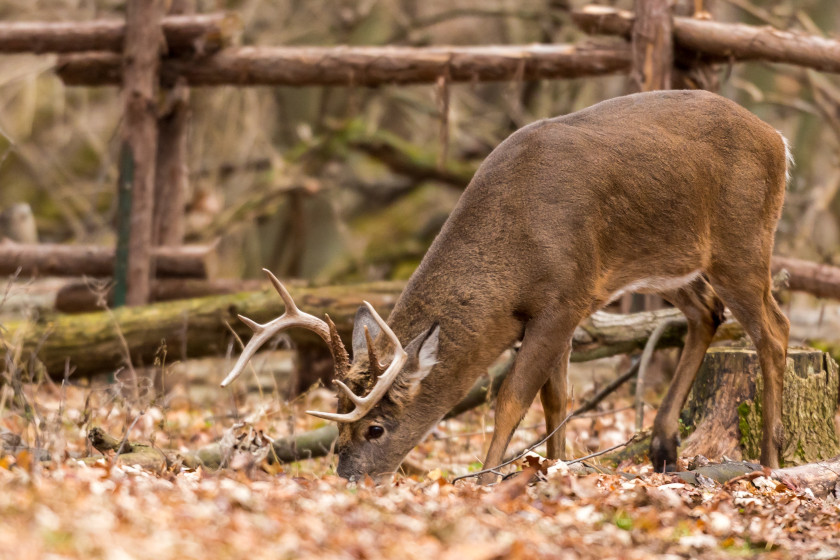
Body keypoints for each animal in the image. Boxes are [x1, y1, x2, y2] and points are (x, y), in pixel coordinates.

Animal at [220, 89, 792, 484]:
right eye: (338, 424)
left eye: (376, 427)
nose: (348, 478)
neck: (516, 238)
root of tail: (778, 140)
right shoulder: (561, 308)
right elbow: (557, 398)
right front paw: (557, 469)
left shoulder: (564, 297)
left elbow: (513, 396)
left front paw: (486, 476)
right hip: (670, 262)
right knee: (707, 313)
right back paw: (663, 446)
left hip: (742, 241)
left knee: (774, 329)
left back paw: (770, 458)